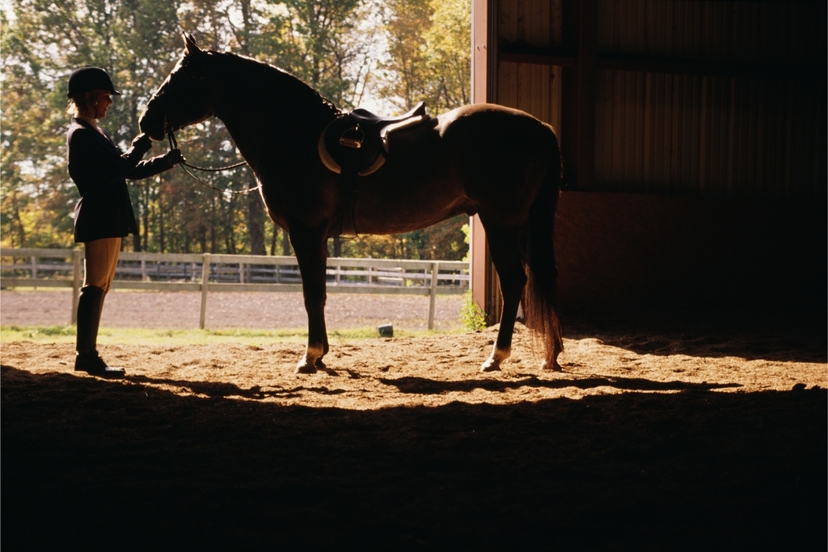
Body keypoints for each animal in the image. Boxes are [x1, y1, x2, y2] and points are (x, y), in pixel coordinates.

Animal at [140, 33, 564, 374]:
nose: (146, 122)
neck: (293, 134)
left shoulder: (305, 231)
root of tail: (540, 127)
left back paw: (496, 357)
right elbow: (321, 293)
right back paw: (550, 354)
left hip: (500, 222)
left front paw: (309, 357)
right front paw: (322, 353)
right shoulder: (318, 237)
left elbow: (311, 293)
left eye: (182, 77)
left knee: (514, 282)